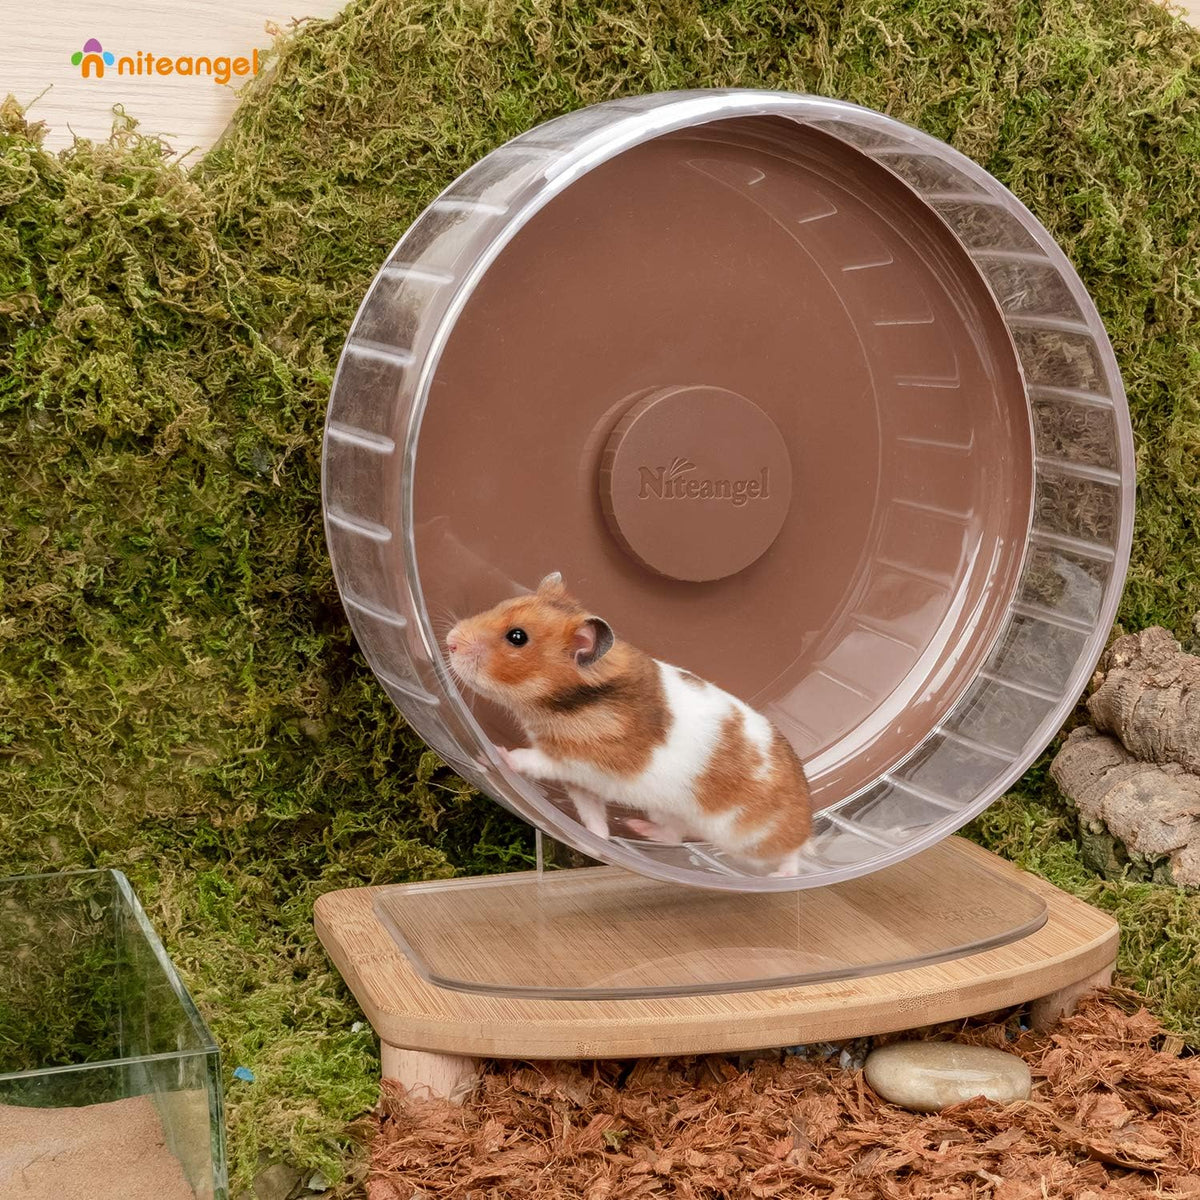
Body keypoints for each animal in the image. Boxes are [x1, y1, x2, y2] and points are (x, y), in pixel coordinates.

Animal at [445, 572, 812, 876]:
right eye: (500, 605)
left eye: (517, 637)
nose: (449, 640)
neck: (570, 702)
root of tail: (810, 817)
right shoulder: (582, 783)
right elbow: (593, 817)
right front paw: (598, 842)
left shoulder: (574, 761)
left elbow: (528, 758)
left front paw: (491, 753)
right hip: (668, 812)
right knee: (673, 837)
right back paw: (638, 829)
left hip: (756, 841)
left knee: (791, 855)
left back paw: (783, 876)